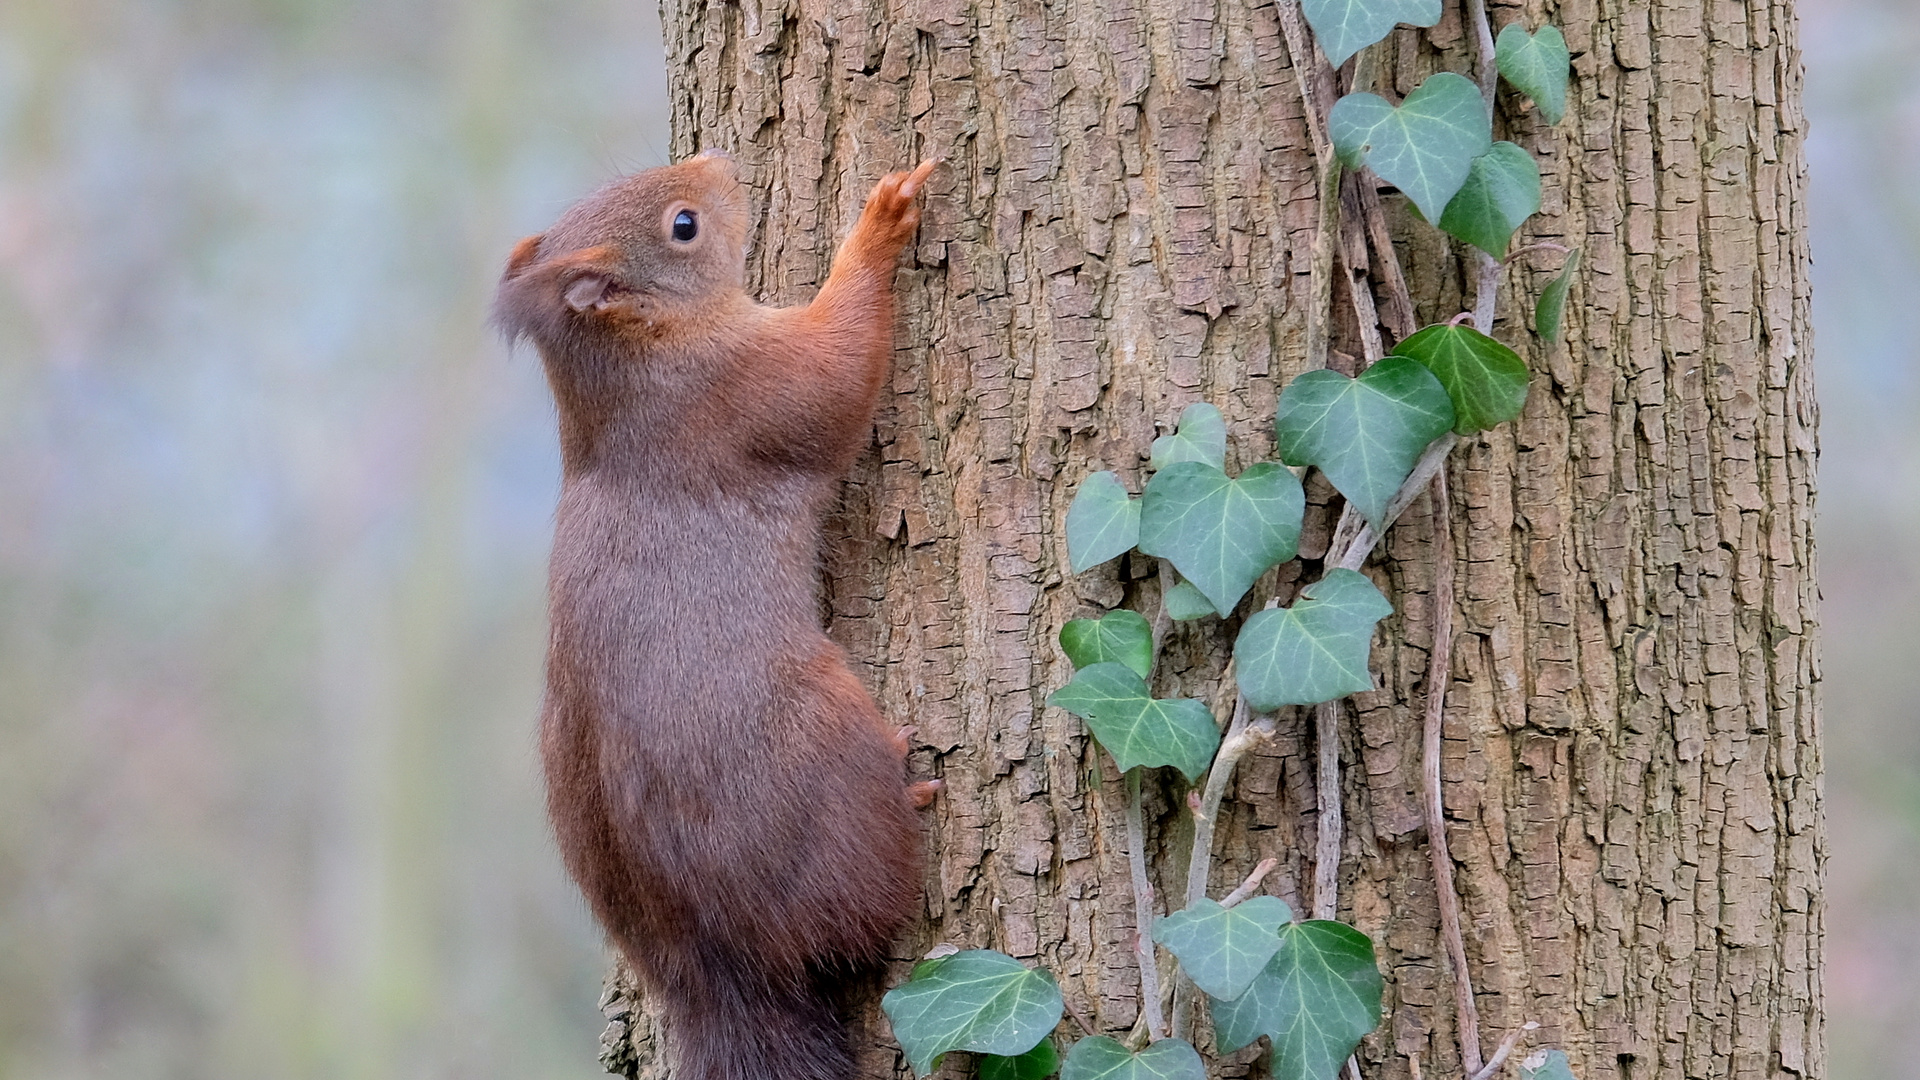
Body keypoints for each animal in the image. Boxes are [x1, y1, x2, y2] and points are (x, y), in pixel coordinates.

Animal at [495, 153, 936, 1076]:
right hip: (820, 757)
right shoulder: (743, 395)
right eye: (684, 226)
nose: (721, 162)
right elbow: (838, 371)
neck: (632, 374)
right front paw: (880, 224)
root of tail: (724, 969)